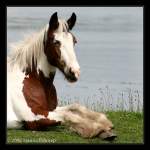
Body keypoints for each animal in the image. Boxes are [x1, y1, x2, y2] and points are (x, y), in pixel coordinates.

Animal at [7, 12, 116, 141]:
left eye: (74, 41)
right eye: (56, 42)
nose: (74, 72)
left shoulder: (51, 109)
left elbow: (75, 107)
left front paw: (104, 123)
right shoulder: (34, 118)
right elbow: (68, 116)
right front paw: (96, 129)